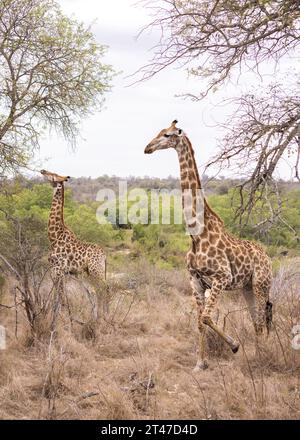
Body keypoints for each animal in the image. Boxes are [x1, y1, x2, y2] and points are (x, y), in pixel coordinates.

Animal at [40, 168, 107, 320]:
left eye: (53, 174)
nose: (43, 170)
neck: (54, 236)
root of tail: (104, 256)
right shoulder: (61, 272)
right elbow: (58, 295)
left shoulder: (57, 269)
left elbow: (59, 296)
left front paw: (59, 320)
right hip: (87, 273)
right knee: (93, 292)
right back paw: (94, 318)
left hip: (96, 271)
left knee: (104, 289)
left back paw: (105, 317)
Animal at [144, 120, 274, 372]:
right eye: (158, 132)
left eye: (167, 135)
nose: (148, 147)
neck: (197, 234)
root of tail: (267, 256)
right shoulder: (195, 281)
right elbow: (199, 322)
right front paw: (200, 363)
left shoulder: (221, 278)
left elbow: (205, 317)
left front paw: (234, 345)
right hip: (246, 287)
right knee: (256, 320)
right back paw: (257, 357)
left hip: (261, 284)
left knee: (263, 318)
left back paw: (264, 357)